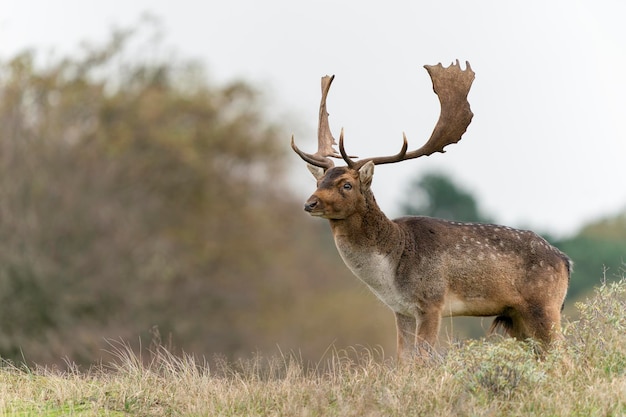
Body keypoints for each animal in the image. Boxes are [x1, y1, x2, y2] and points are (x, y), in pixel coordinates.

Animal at [290, 60, 568, 360]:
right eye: (318, 182)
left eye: (347, 184)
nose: (310, 203)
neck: (391, 269)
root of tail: (565, 261)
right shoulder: (401, 310)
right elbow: (404, 360)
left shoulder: (432, 300)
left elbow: (424, 359)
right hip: (515, 316)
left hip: (544, 305)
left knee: (564, 355)